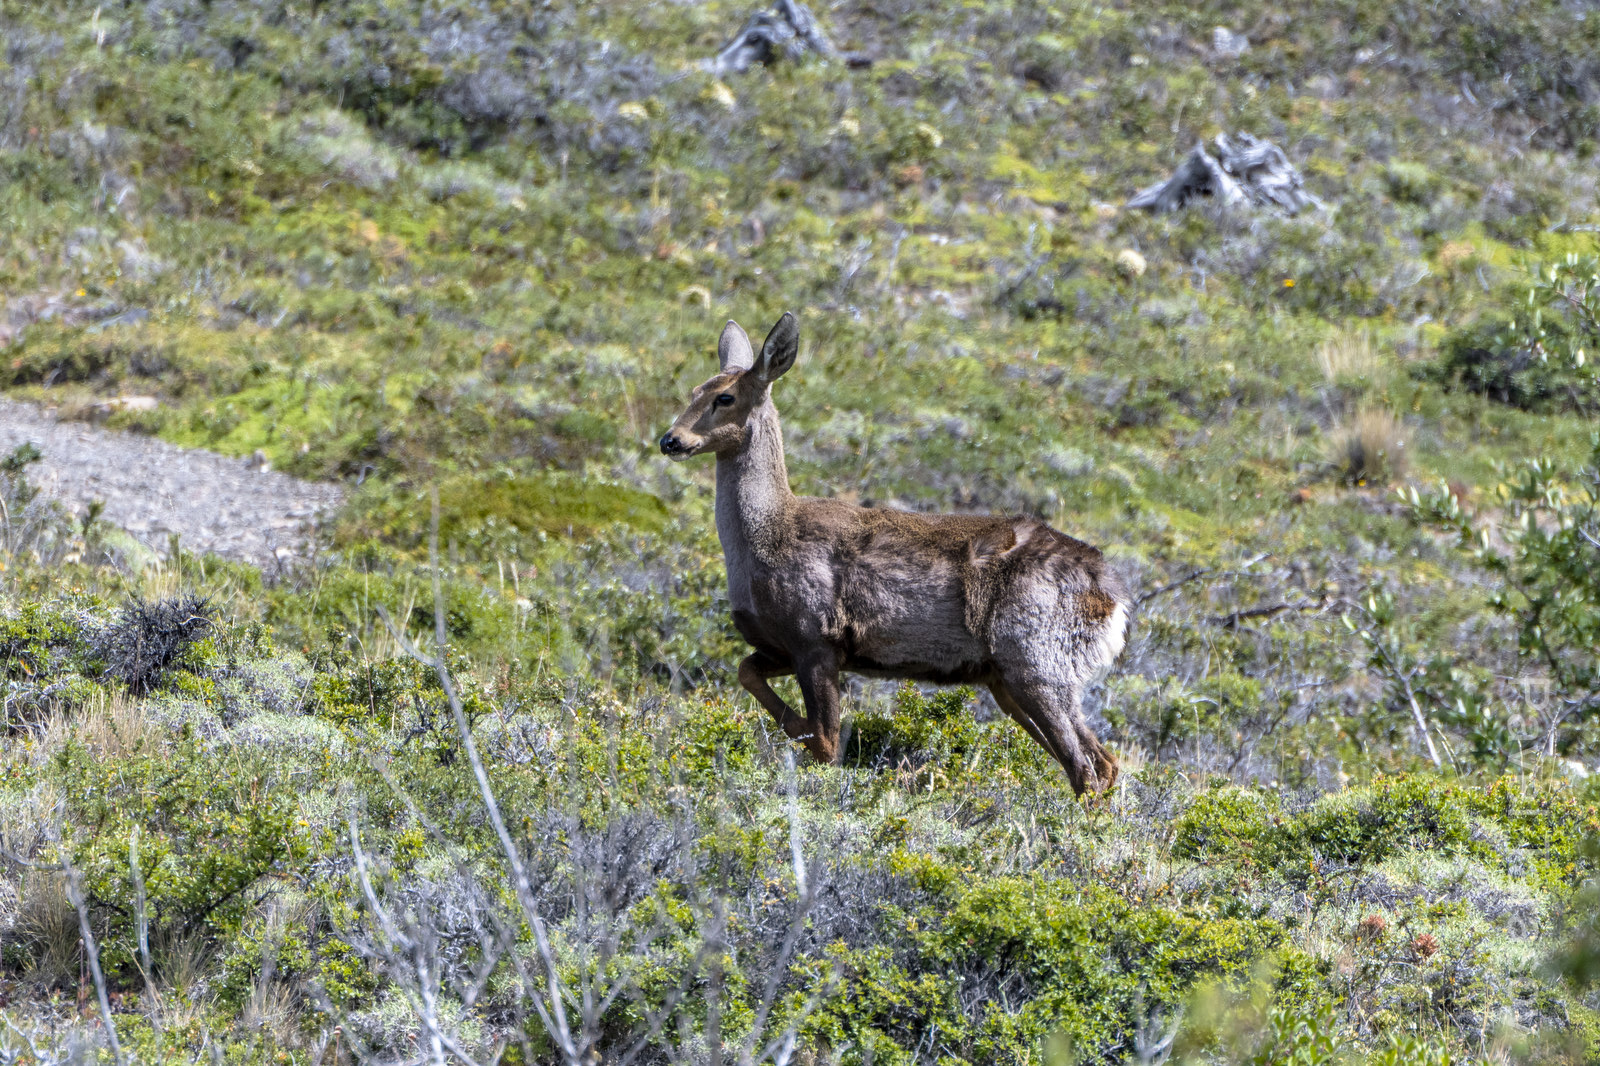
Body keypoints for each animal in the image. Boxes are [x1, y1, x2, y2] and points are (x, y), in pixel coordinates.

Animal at [659, 312, 1131, 794]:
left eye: (725, 397)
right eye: (693, 390)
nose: (670, 440)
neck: (765, 540)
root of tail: (1113, 599)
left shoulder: (815, 637)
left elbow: (826, 743)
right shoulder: (782, 645)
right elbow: (746, 671)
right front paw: (794, 730)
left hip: (1037, 660)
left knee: (1087, 767)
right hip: (1009, 678)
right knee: (1102, 762)